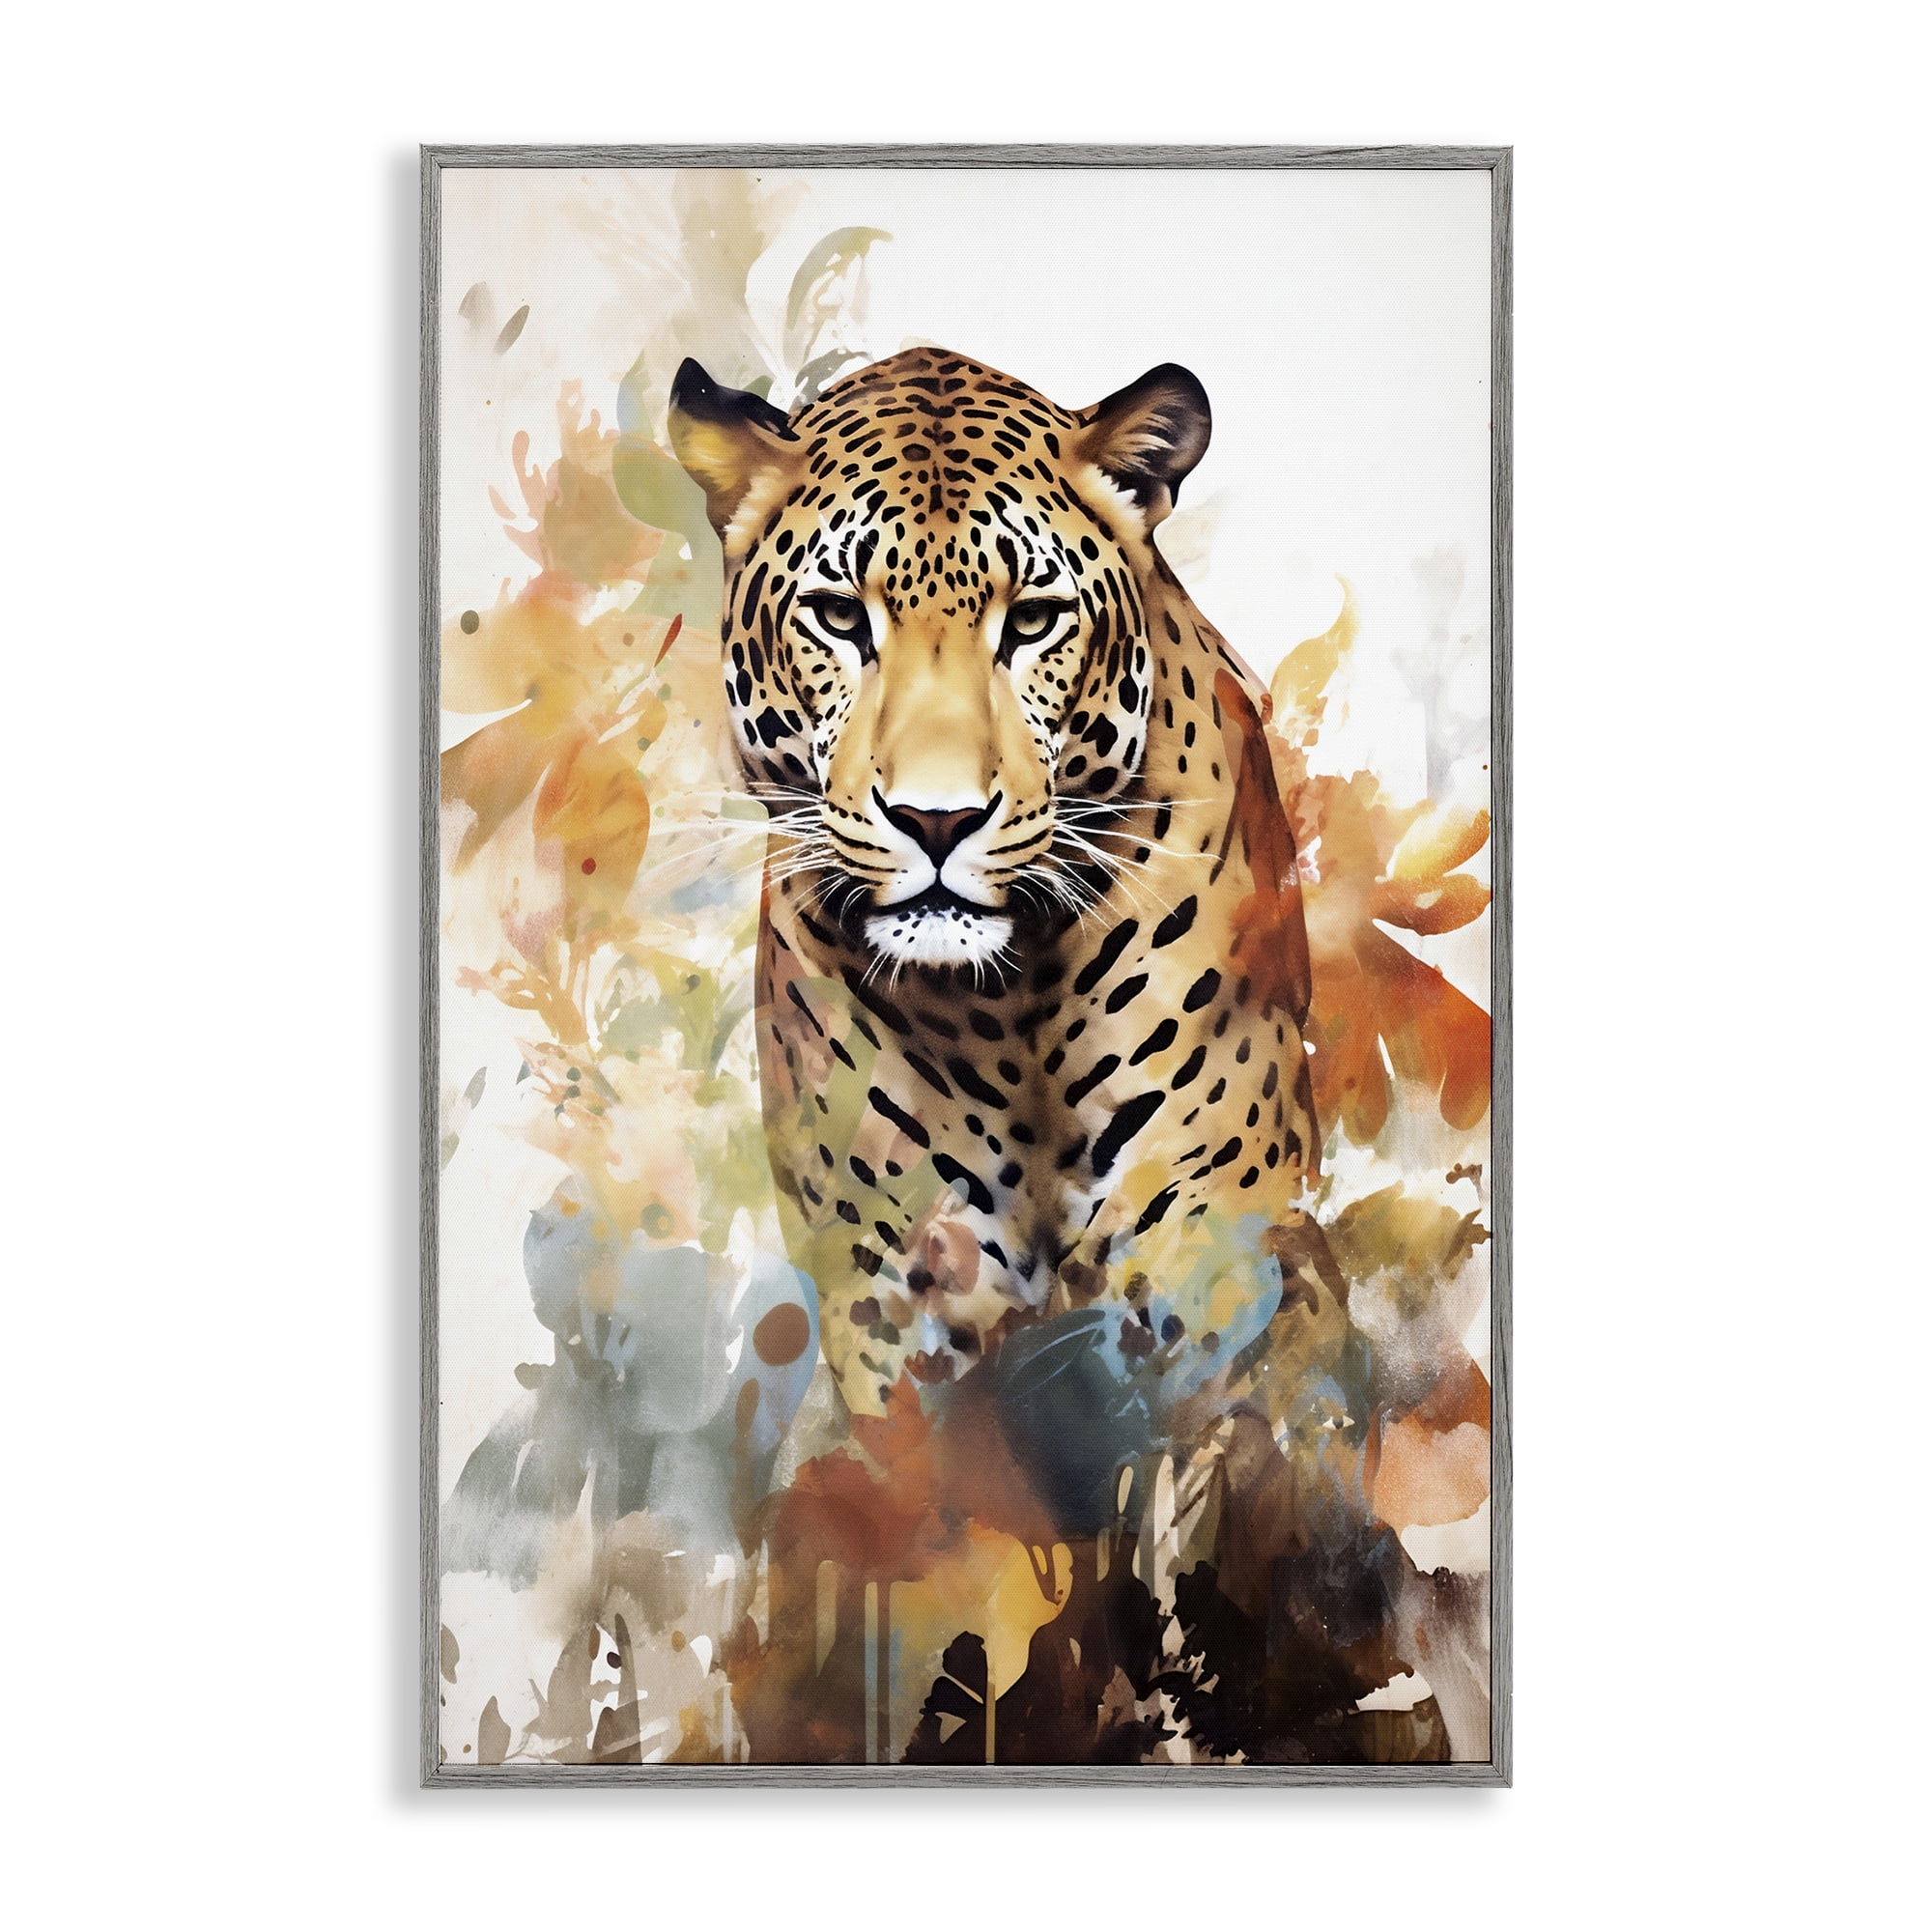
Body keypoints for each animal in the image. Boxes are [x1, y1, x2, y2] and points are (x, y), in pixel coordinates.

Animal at [670, 345, 1349, 1533]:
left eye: (1031, 620)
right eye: (838, 616)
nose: (936, 820)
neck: (1004, 1005)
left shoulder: (1213, 1236)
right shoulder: (887, 1287)